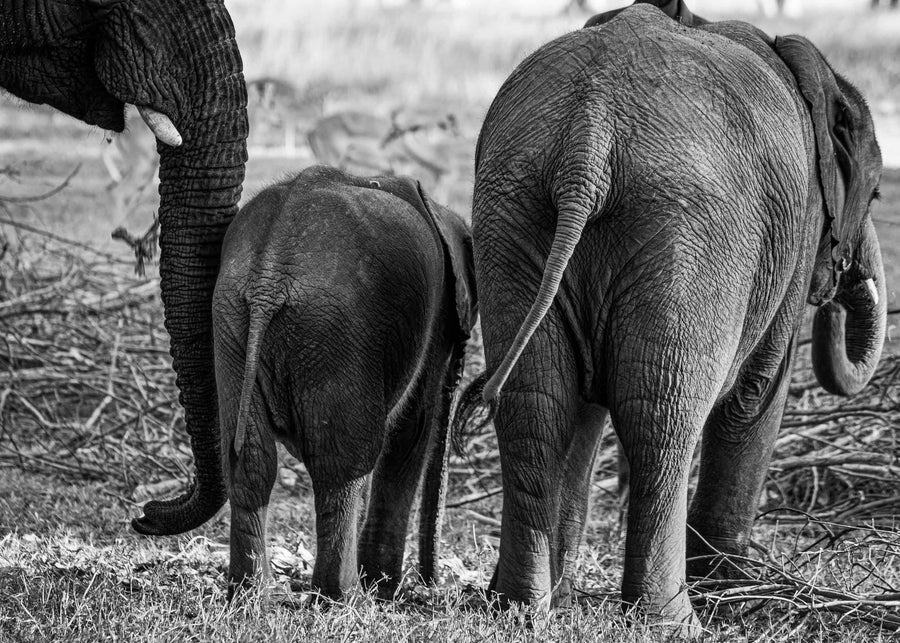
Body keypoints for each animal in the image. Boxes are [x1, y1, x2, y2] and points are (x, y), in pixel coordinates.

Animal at [213, 165, 478, 600]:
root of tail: (268, 275)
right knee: (342, 463)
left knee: (251, 460)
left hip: (232, 321)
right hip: (335, 331)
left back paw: (252, 591)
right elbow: (412, 429)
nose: (432, 585)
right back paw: (343, 594)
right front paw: (384, 587)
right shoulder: (433, 320)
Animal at [458, 1, 884, 640]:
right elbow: (756, 395)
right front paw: (734, 597)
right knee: (663, 415)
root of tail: (589, 135)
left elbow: (581, 410)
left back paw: (518, 607)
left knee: (538, 401)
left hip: (513, 208)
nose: (838, 294)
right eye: (878, 193)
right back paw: (674, 621)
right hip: (692, 230)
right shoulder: (801, 222)